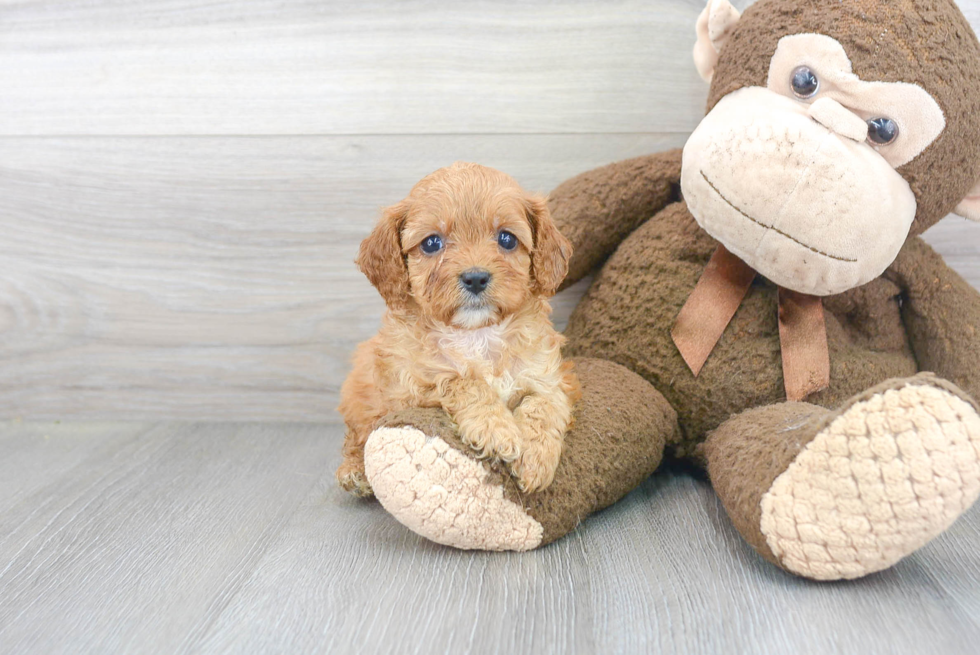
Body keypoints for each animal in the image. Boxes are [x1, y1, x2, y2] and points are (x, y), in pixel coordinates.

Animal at [338, 163, 580, 498]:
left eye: (507, 239)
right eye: (431, 243)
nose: (475, 278)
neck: (477, 334)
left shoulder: (551, 377)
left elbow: (544, 404)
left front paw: (536, 457)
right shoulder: (408, 390)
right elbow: (461, 381)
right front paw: (496, 430)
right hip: (360, 399)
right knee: (356, 437)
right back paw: (353, 472)